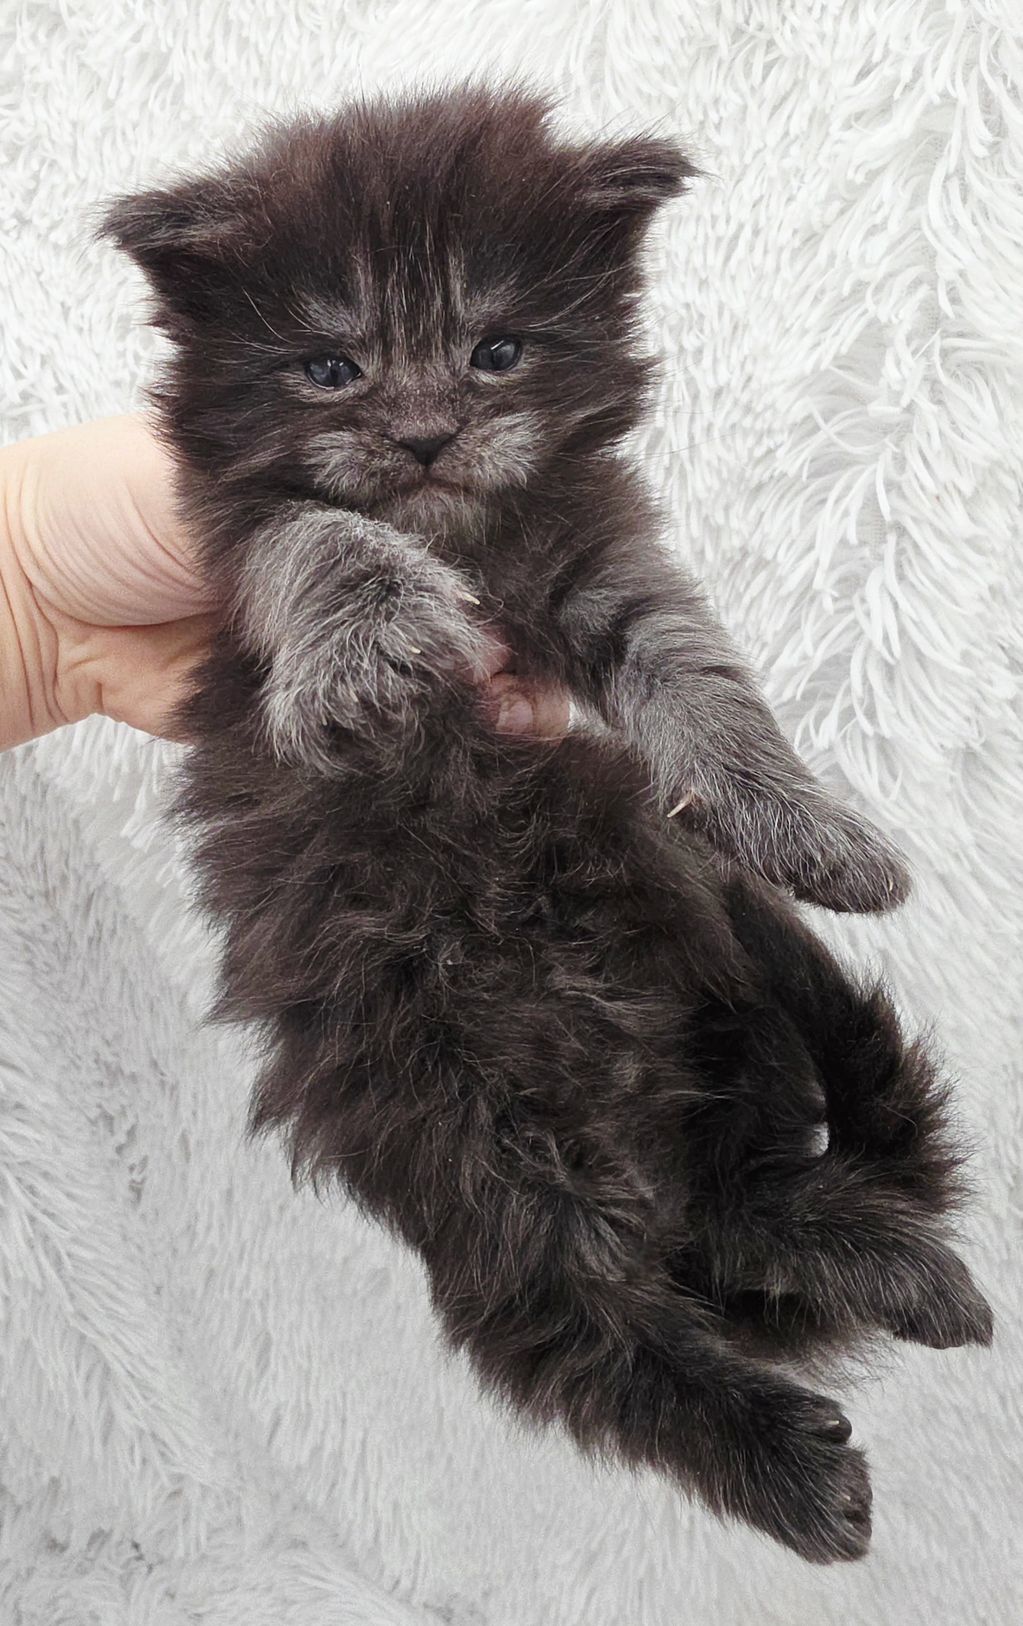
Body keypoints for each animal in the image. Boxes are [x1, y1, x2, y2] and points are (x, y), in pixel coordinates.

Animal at [98, 80, 992, 1564]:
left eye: (497, 351)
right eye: (328, 369)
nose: (423, 436)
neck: (461, 535)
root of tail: (615, 1145)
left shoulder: (607, 559)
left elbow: (696, 675)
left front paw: (806, 828)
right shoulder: (226, 545)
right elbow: (318, 539)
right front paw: (364, 648)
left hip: (713, 997)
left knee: (732, 1210)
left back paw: (891, 1268)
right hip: (451, 1135)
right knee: (586, 1341)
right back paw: (791, 1468)